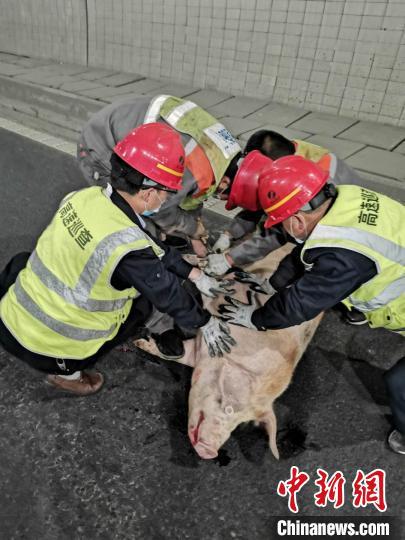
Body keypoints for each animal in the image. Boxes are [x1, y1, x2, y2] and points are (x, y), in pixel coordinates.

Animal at [134, 246, 324, 460]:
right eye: (229, 409)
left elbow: (179, 354)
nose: (210, 451)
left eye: (239, 424)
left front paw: (142, 343)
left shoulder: (199, 352)